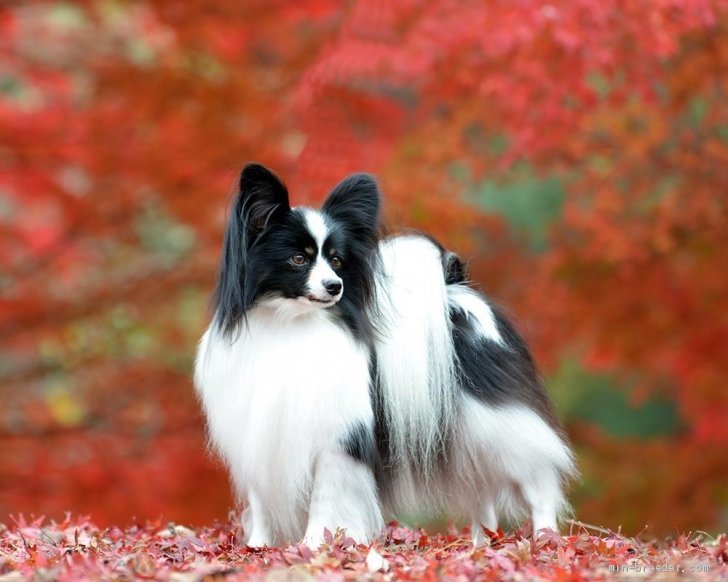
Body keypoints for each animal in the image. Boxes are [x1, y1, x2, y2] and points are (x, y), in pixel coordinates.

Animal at [193, 164, 576, 548]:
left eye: (337, 261)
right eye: (298, 259)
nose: (335, 286)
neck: (290, 324)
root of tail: (457, 295)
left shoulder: (337, 439)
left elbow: (324, 498)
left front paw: (315, 545)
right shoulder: (254, 436)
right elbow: (260, 504)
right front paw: (257, 547)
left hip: (496, 426)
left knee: (538, 479)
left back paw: (545, 538)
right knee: (482, 495)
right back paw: (480, 546)